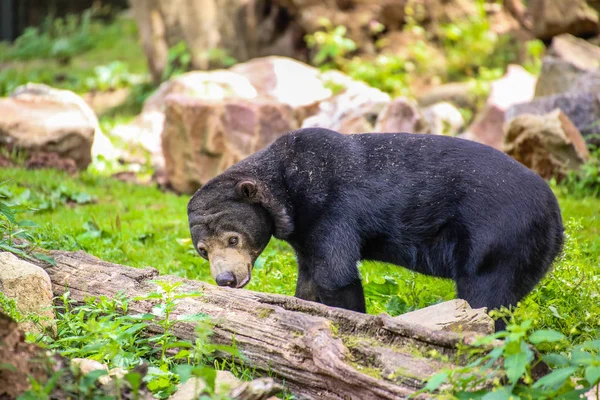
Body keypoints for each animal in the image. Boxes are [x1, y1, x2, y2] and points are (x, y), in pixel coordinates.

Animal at [188, 126, 564, 330]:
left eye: (233, 238)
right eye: (202, 251)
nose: (226, 279)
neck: (286, 189)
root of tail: (555, 217)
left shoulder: (331, 209)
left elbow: (335, 274)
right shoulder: (304, 234)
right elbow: (309, 277)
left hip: (499, 240)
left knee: (487, 298)